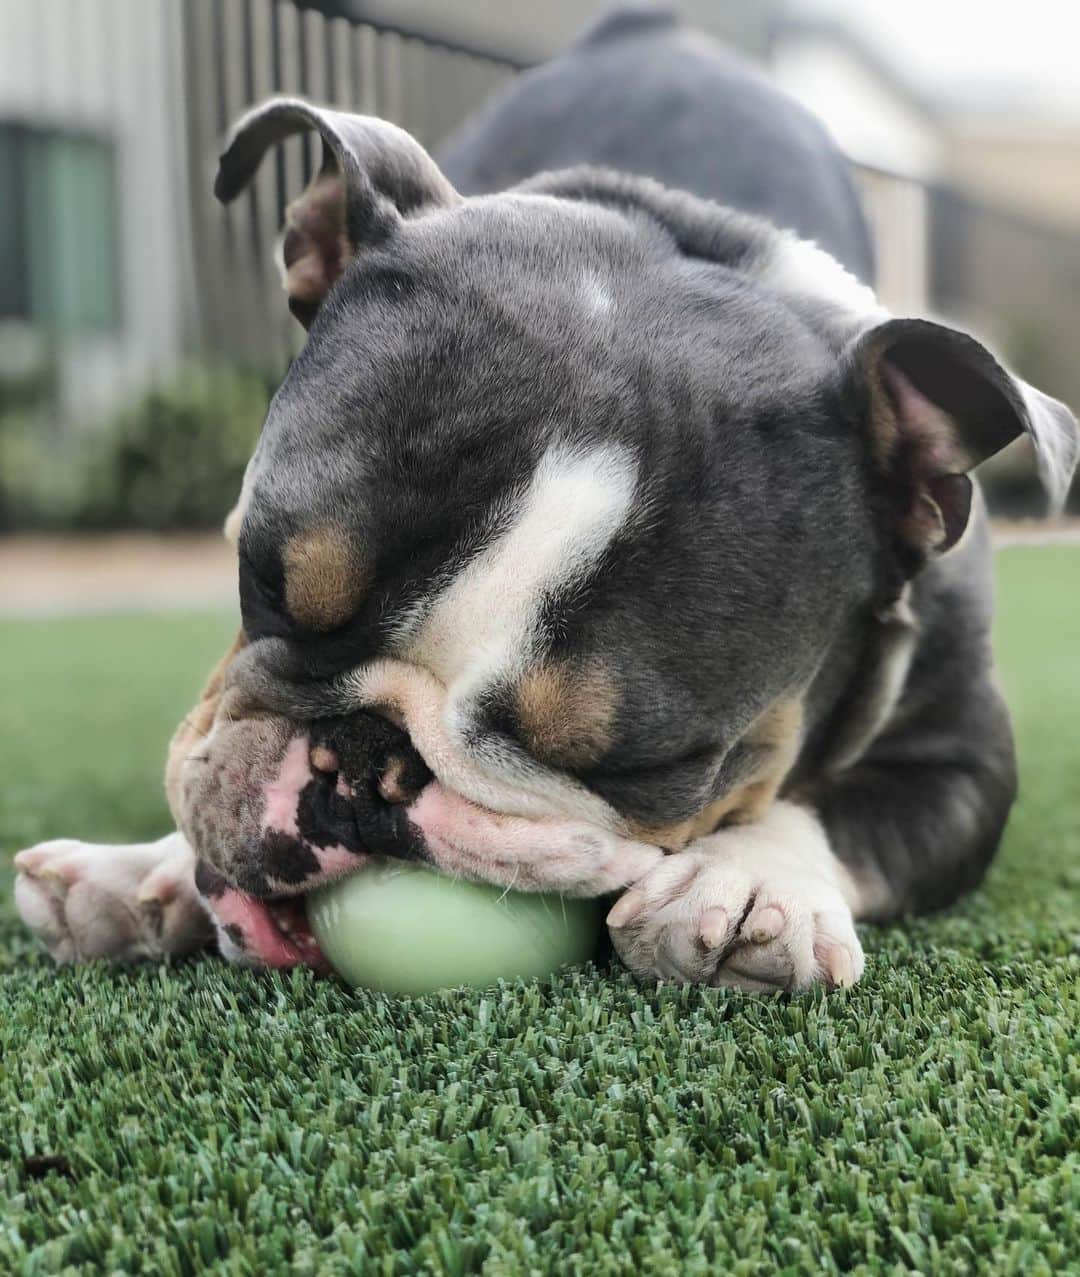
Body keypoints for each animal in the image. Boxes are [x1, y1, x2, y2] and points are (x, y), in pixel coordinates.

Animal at [12, 9, 1077, 985]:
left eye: (642, 766)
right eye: (265, 583)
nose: (364, 764)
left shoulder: (965, 767)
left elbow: (831, 808)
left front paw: (747, 880)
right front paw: (140, 870)